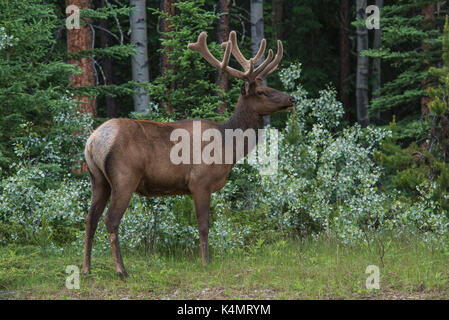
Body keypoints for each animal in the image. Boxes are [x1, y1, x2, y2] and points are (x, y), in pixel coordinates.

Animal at [82, 30, 296, 278]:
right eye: (262, 92)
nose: (292, 99)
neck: (228, 147)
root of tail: (93, 141)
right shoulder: (200, 182)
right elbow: (203, 225)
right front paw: (206, 261)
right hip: (124, 177)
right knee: (111, 219)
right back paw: (121, 270)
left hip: (98, 179)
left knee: (90, 218)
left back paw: (86, 269)